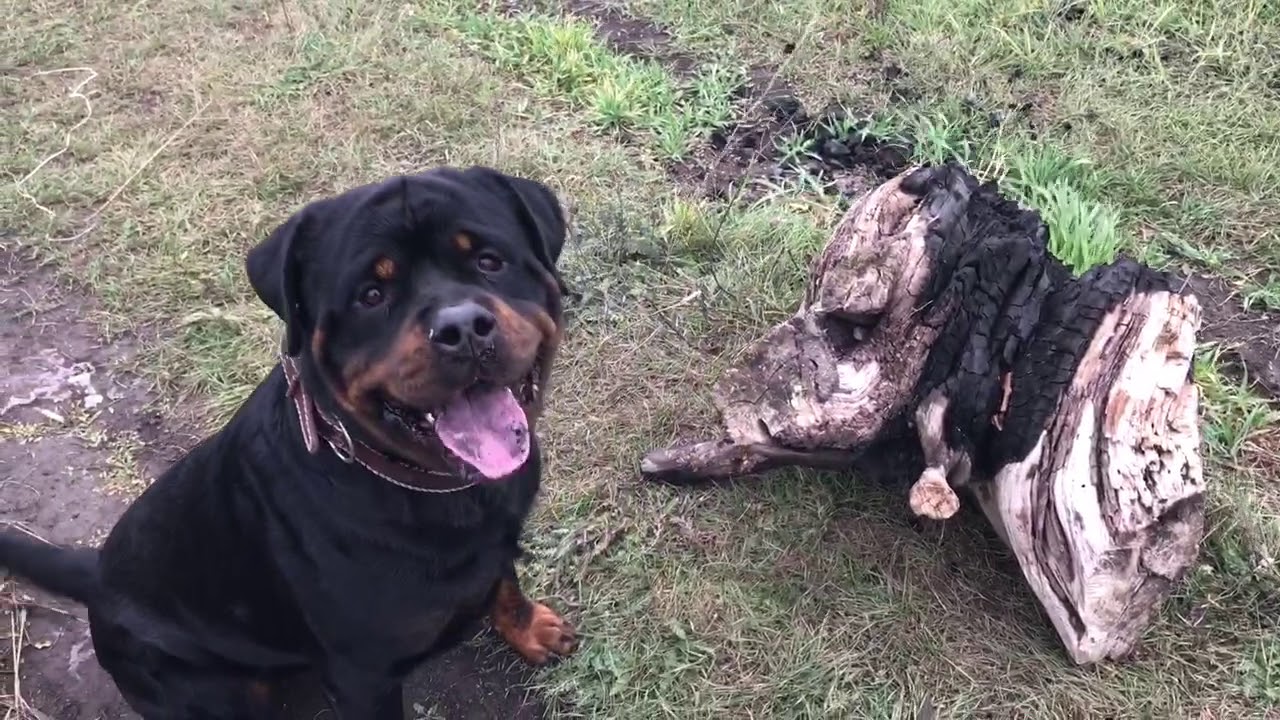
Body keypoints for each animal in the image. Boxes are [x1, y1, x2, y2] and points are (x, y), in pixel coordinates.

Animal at [1, 165, 581, 712]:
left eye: (489, 261)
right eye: (371, 295)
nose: (461, 328)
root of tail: (98, 574)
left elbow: (505, 582)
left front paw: (530, 628)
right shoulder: (361, 678)